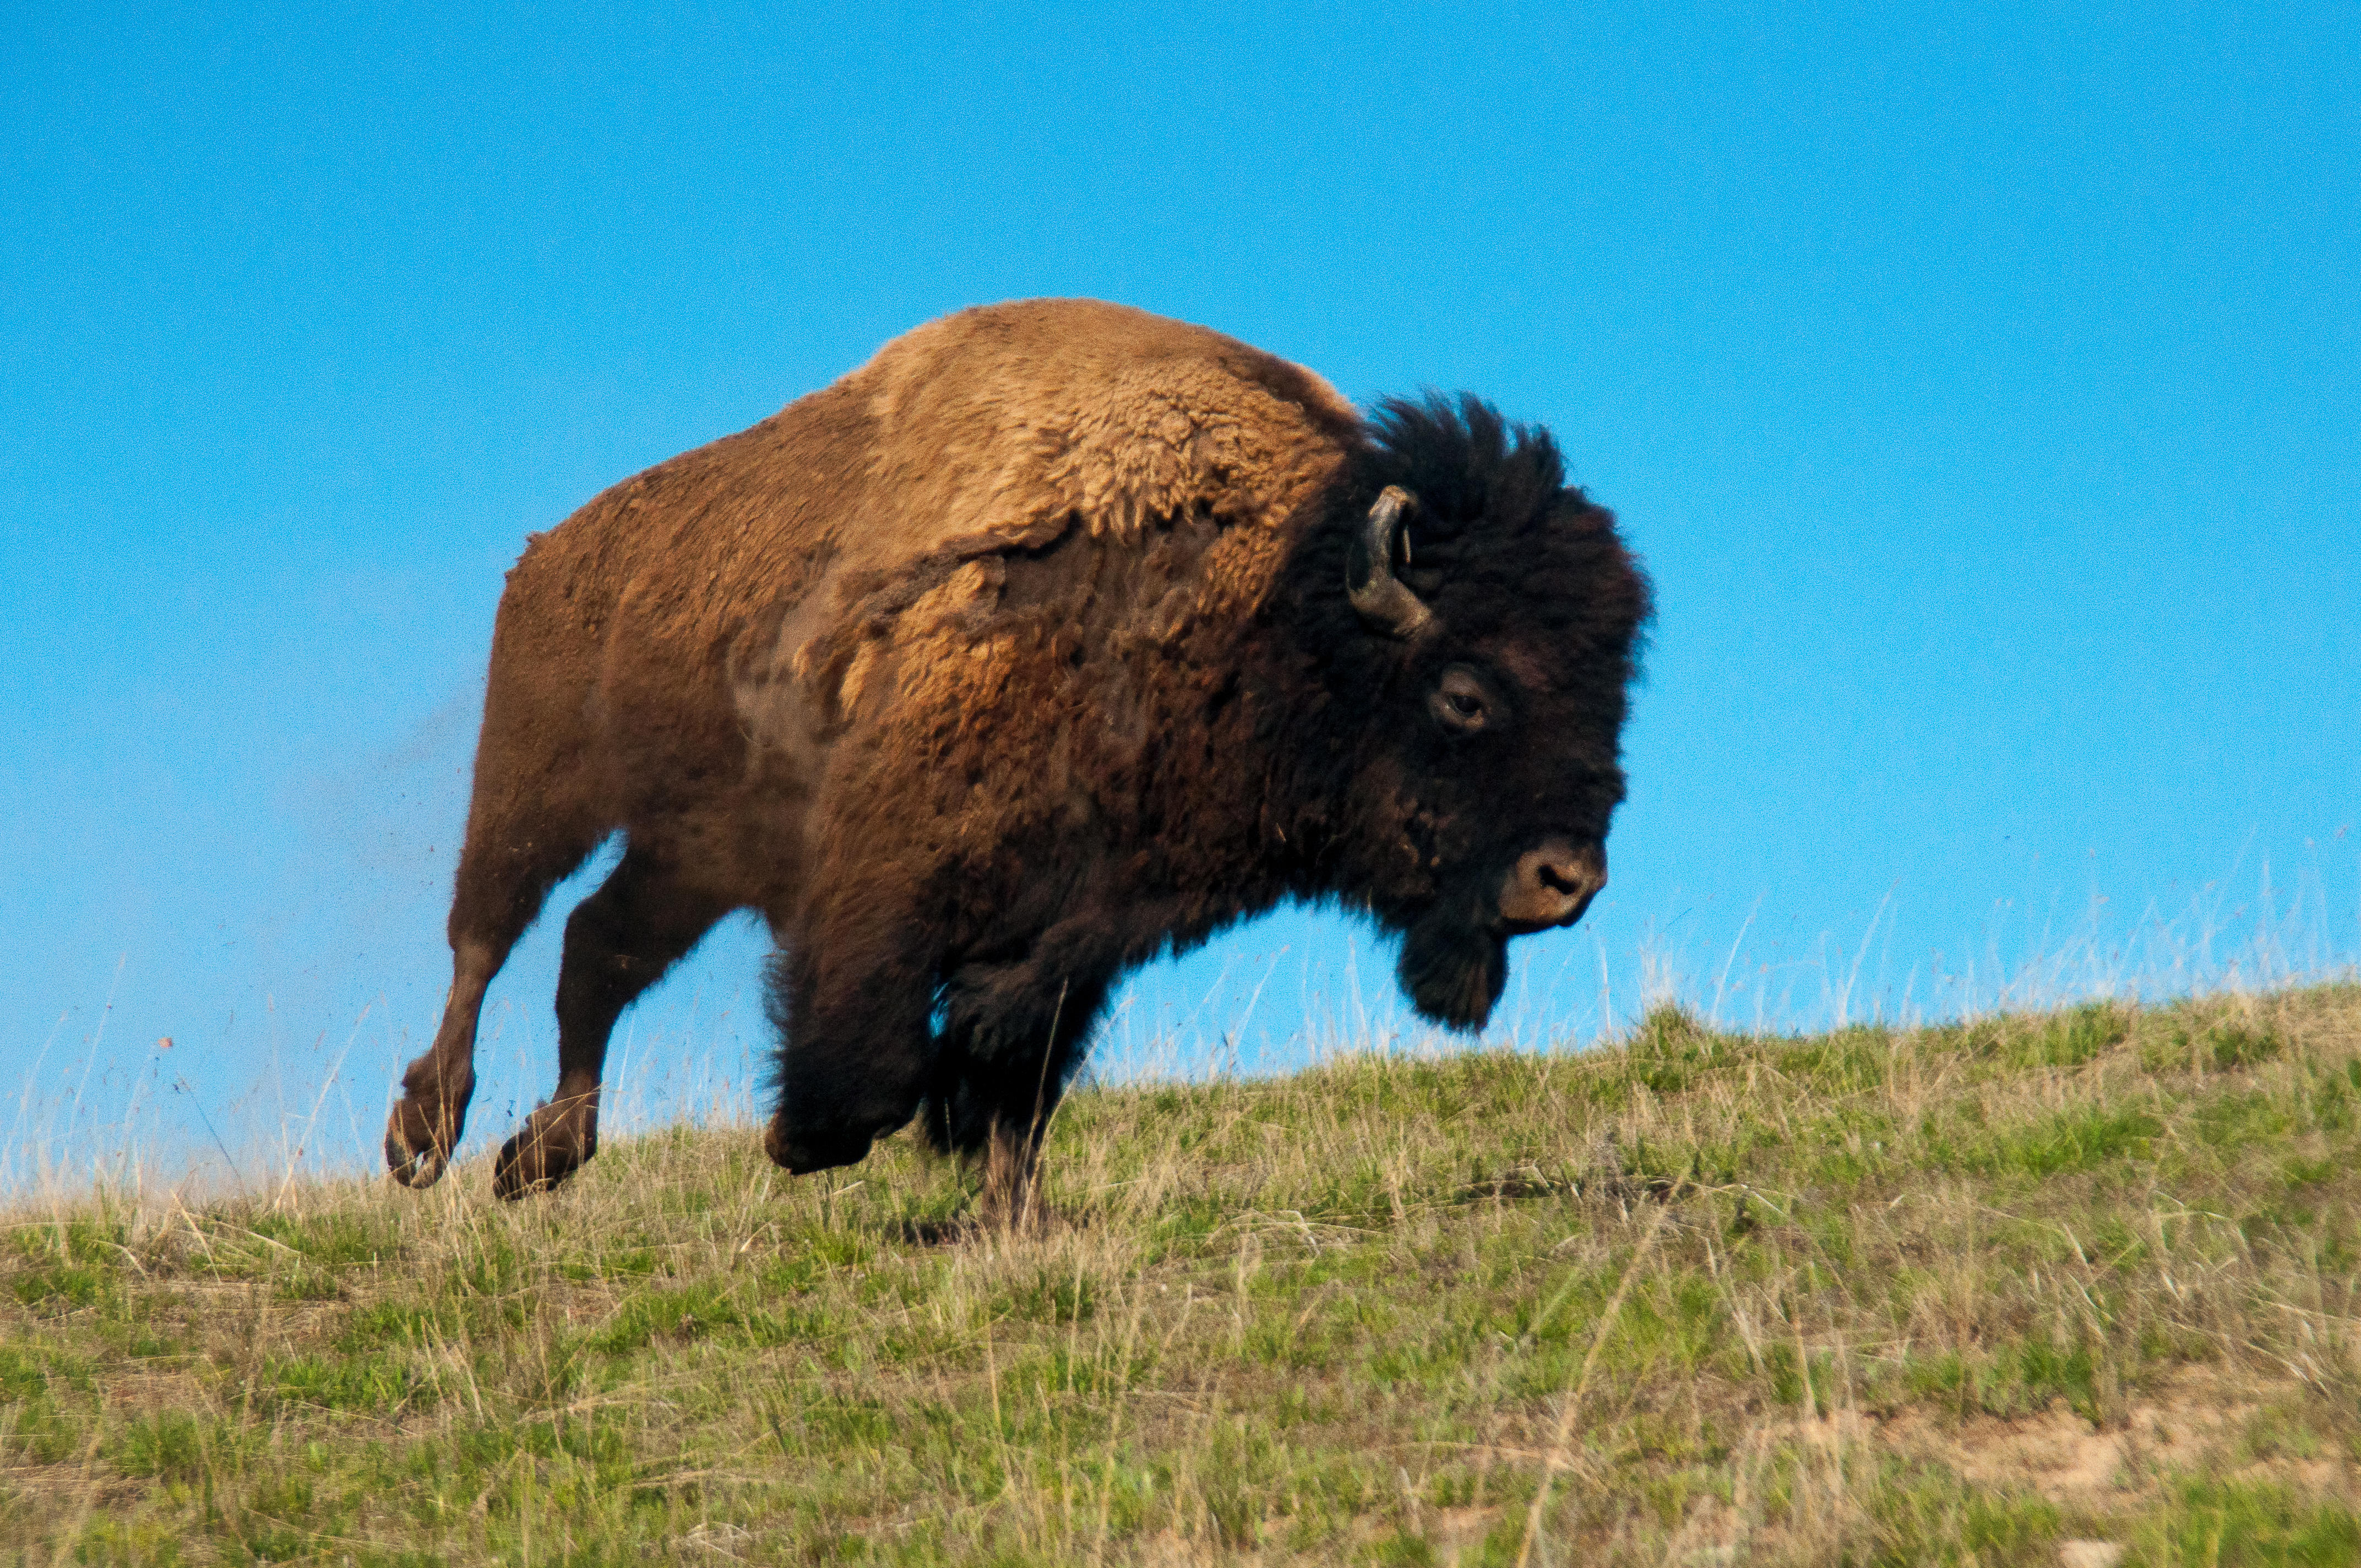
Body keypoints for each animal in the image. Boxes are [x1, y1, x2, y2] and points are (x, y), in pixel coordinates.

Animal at [382, 300, 1643, 1218]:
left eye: (1612, 694)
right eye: (1465, 693)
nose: (1566, 877)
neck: (1264, 597)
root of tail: (552, 553)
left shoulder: (1077, 935)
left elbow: (1013, 1073)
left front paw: (1010, 1217)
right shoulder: (893, 882)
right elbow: (890, 1056)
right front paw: (802, 1138)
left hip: (692, 847)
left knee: (596, 946)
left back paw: (539, 1156)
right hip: (542, 783)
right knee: (487, 934)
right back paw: (428, 1134)